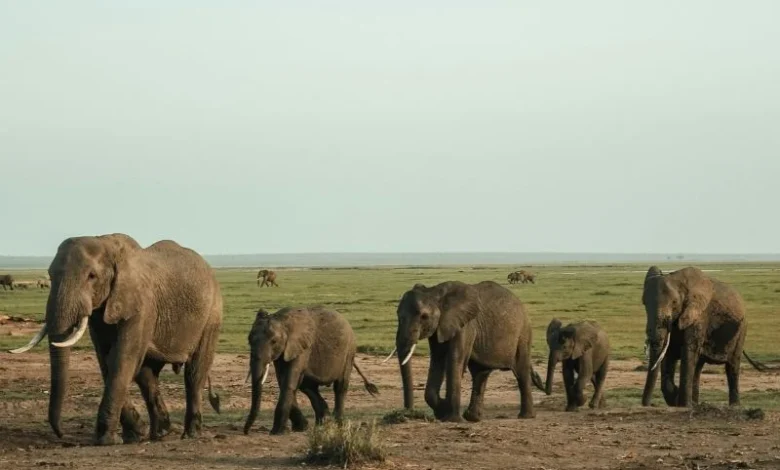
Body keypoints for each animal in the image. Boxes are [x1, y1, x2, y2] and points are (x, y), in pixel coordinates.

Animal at [8, 233, 223, 445]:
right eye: (50, 275)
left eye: (92, 276)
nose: (62, 435)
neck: (106, 244)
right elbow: (107, 361)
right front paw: (134, 435)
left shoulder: (141, 306)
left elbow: (121, 360)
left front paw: (105, 439)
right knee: (147, 375)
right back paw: (161, 433)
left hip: (212, 313)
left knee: (194, 373)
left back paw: (191, 435)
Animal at [244, 306, 379, 435]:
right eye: (249, 340)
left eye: (274, 341)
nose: (246, 432)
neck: (282, 320)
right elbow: (283, 381)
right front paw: (301, 428)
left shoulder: (302, 348)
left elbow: (289, 382)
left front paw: (277, 432)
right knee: (308, 387)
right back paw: (322, 423)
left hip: (349, 351)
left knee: (340, 386)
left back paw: (337, 424)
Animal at [385, 281, 545, 423]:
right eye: (398, 315)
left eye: (424, 316)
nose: (407, 413)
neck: (435, 293)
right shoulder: (439, 327)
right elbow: (437, 359)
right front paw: (442, 410)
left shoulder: (466, 325)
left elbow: (455, 359)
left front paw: (452, 419)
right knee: (480, 373)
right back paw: (473, 418)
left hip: (523, 334)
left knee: (521, 371)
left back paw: (526, 416)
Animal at [641, 266, 768, 408]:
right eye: (644, 303)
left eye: (674, 303)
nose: (646, 405)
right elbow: (669, 354)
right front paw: (677, 398)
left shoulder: (700, 316)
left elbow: (688, 352)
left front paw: (683, 405)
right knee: (698, 367)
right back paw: (695, 403)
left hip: (742, 330)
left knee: (732, 365)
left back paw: (734, 406)